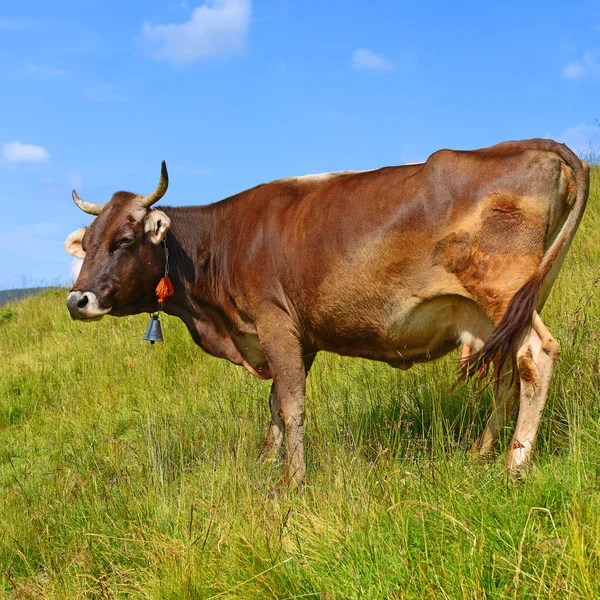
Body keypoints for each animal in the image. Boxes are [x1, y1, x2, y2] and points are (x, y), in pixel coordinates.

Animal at [64, 138, 592, 486]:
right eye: (86, 245)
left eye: (124, 240)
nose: (76, 300)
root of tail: (528, 143)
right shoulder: (301, 336)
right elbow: (276, 404)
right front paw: (267, 462)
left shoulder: (275, 322)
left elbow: (293, 404)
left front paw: (293, 481)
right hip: (509, 307)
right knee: (508, 372)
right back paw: (482, 454)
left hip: (502, 289)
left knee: (536, 356)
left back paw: (515, 465)